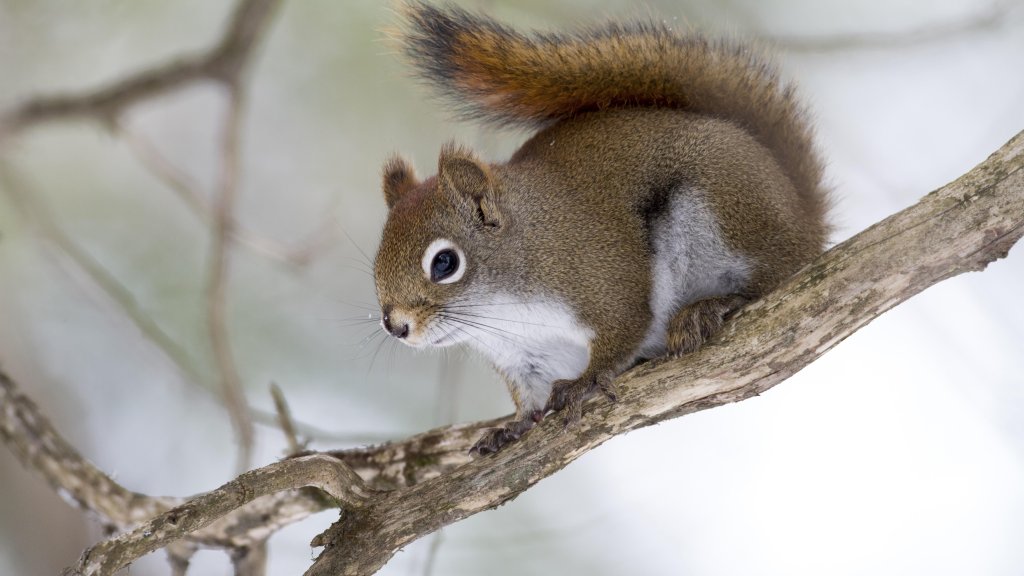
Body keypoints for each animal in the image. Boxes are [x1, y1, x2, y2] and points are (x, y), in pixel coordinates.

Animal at [372, 2, 830, 455]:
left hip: (725, 210)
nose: (396, 326)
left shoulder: (604, 281)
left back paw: (711, 307)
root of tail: (804, 218)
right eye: (376, 263)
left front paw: (586, 382)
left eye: (445, 263)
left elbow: (622, 331)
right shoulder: (525, 357)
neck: (504, 308)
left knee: (772, 279)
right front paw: (512, 427)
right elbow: (529, 400)